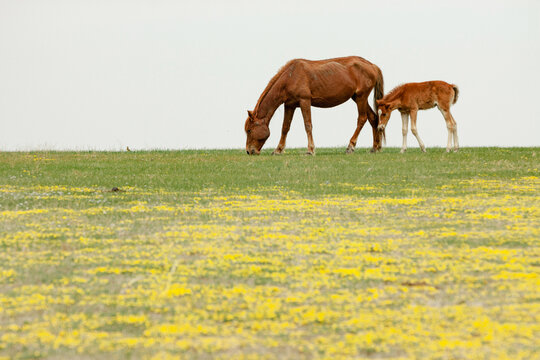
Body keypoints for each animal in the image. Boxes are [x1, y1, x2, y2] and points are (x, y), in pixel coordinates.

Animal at [243, 56, 386, 155]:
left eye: (249, 130)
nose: (249, 151)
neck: (291, 76)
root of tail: (372, 66)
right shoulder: (289, 105)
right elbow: (285, 127)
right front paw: (278, 150)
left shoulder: (305, 101)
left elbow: (308, 125)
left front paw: (310, 150)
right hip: (358, 98)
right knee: (373, 118)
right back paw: (375, 148)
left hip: (361, 97)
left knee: (362, 119)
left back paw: (351, 146)